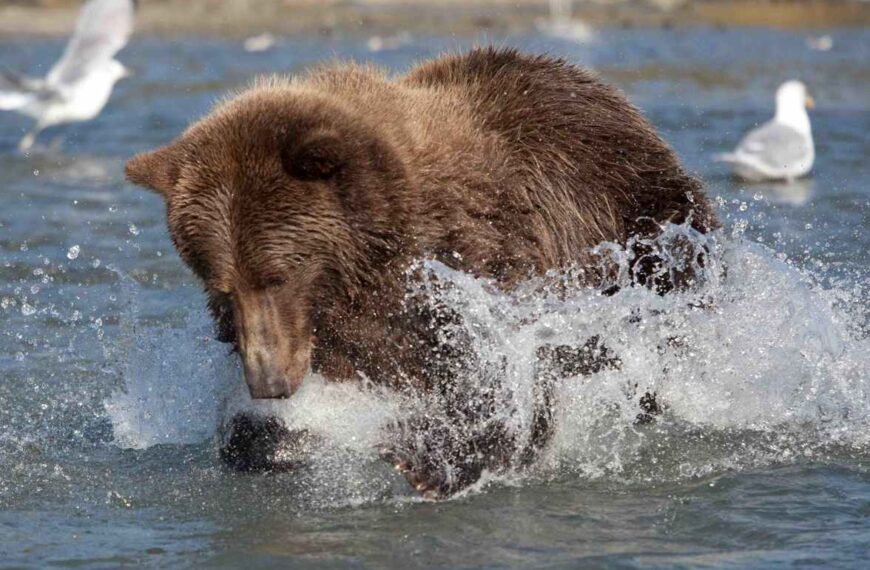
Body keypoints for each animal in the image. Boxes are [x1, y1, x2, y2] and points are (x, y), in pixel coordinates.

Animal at [125, 47, 718, 498]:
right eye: (223, 286)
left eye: (277, 274)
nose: (269, 382)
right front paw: (270, 440)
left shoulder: (477, 274)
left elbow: (503, 372)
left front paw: (433, 460)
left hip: (645, 233)